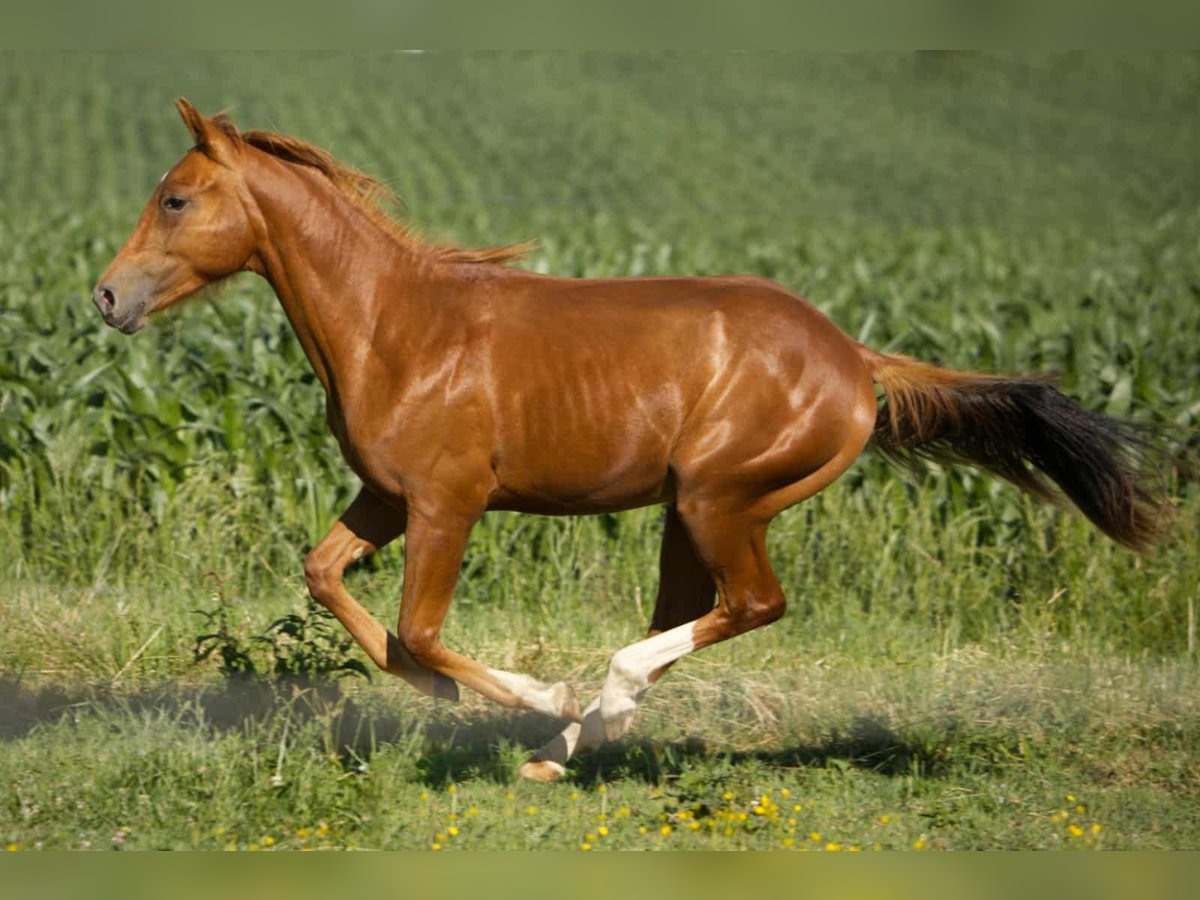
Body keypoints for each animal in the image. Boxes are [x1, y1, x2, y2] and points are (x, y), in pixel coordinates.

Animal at [93, 99, 1172, 782]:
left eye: (176, 198)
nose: (105, 296)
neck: (396, 327)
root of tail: (856, 359)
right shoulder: (386, 497)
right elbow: (326, 579)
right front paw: (441, 695)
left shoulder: (449, 502)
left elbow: (422, 626)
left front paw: (540, 692)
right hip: (686, 515)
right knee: (696, 611)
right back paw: (564, 750)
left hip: (720, 496)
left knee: (753, 604)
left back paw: (593, 708)